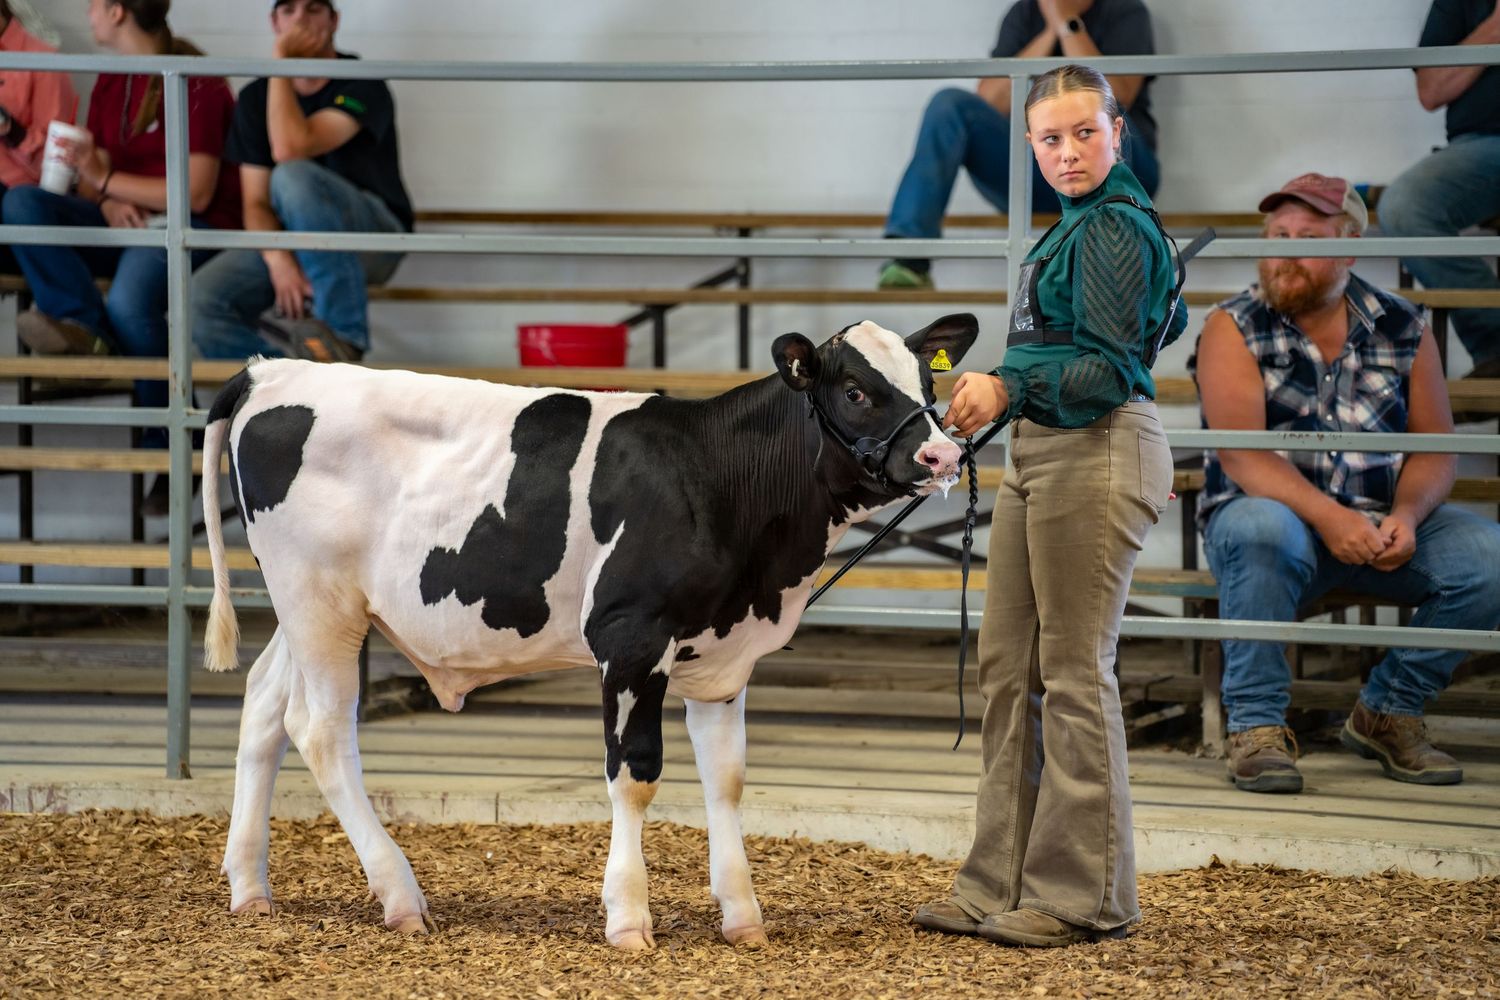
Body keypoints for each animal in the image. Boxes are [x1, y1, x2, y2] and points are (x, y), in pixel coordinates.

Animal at [203, 313, 978, 950]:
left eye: (927, 385)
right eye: (854, 390)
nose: (944, 455)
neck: (721, 479)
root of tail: (270, 371)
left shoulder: (724, 656)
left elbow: (726, 779)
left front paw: (743, 916)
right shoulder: (630, 638)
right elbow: (635, 775)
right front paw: (629, 918)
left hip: (310, 606)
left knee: (265, 705)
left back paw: (250, 888)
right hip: (317, 597)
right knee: (321, 730)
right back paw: (400, 896)